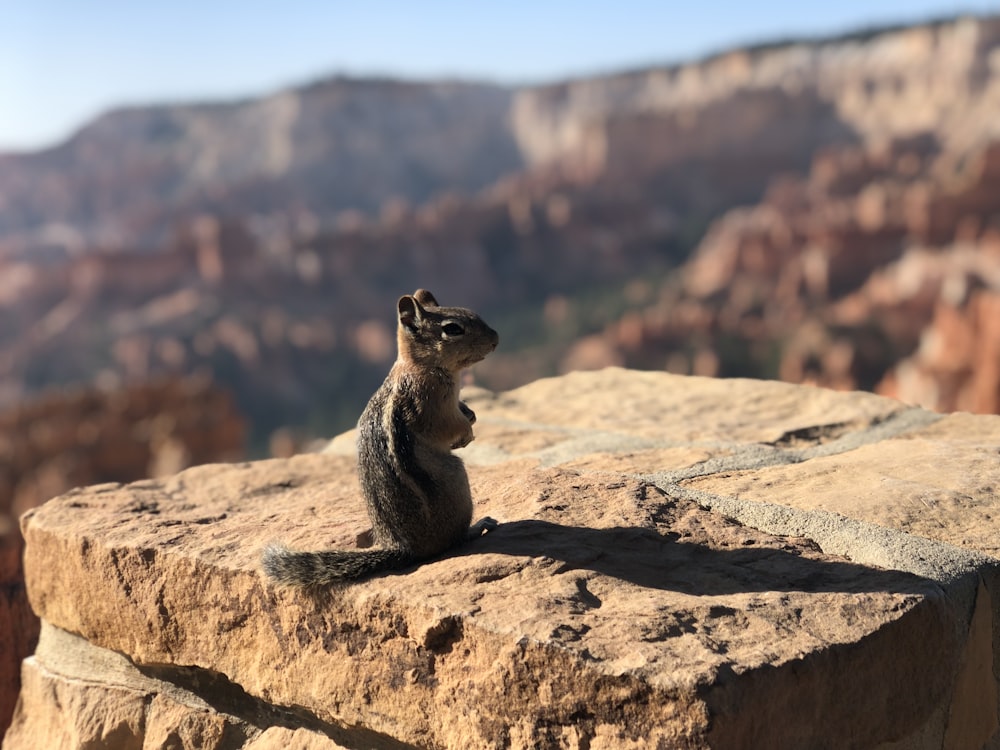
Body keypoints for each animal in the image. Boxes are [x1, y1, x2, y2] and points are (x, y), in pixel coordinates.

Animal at [262, 290, 500, 588]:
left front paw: (471, 413)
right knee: (452, 542)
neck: (420, 366)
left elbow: (463, 410)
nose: (496, 337)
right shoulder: (430, 405)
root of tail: (401, 546)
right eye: (453, 329)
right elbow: (448, 427)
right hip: (456, 479)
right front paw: (466, 434)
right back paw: (477, 527)